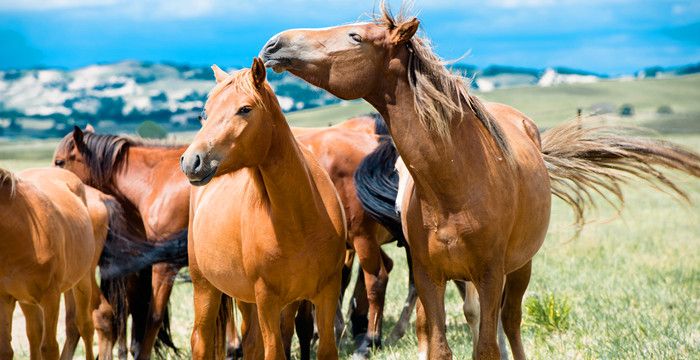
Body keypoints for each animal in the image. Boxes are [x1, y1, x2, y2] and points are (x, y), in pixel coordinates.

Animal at [0, 168, 95, 360]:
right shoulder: (4, 298)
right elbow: (5, 350)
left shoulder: (51, 296)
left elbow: (50, 348)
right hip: (26, 300)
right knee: (34, 333)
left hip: (83, 281)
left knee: (86, 326)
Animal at [179, 57, 346, 358]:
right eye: (204, 114)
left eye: (245, 109)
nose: (191, 161)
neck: (300, 219)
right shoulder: (267, 299)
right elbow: (274, 351)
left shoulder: (327, 292)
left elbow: (326, 347)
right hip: (205, 286)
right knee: (201, 340)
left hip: (246, 299)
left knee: (251, 342)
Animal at [260, 2, 700, 358]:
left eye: (355, 37)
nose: (273, 44)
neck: (455, 183)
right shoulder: (430, 275)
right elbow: (439, 344)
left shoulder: (490, 275)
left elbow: (486, 346)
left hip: (519, 269)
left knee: (511, 325)